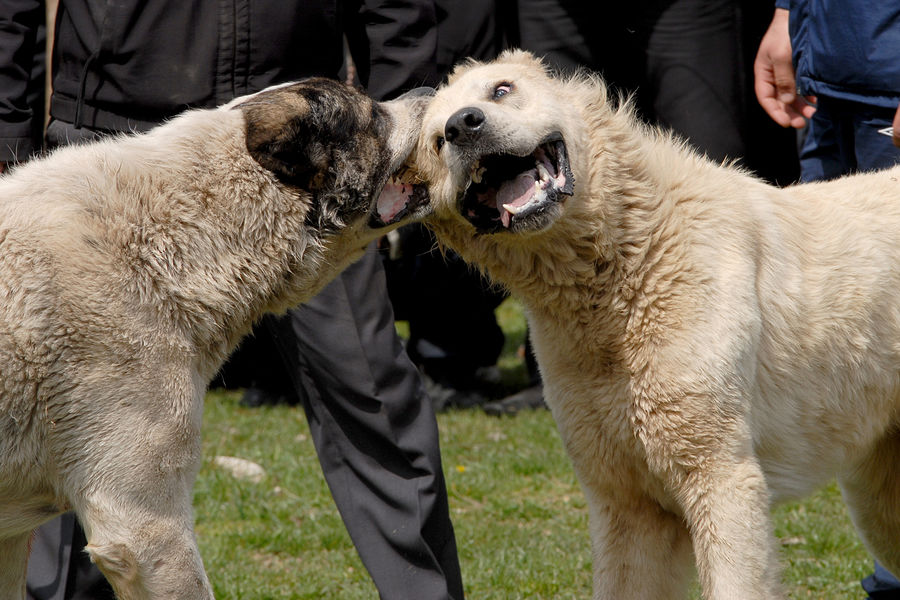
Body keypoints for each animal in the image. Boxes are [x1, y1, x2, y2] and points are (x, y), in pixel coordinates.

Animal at [414, 49, 900, 596]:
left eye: (501, 90)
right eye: (437, 141)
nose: (462, 125)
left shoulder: (721, 476)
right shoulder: (628, 503)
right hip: (877, 494)